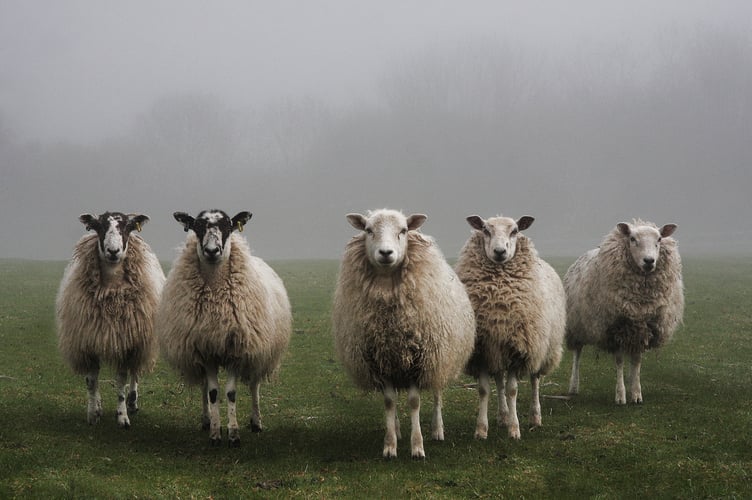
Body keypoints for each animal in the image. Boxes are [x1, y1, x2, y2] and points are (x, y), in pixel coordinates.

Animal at [56, 213, 165, 428]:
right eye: (99, 226)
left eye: (127, 227)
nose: (113, 251)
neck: (111, 290)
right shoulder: (88, 341)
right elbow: (91, 381)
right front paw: (92, 413)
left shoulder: (126, 342)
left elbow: (121, 380)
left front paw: (122, 416)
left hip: (140, 341)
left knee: (135, 372)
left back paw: (132, 402)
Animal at [156, 209, 290, 448]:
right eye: (197, 227)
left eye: (228, 226)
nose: (212, 251)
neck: (216, 295)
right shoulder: (206, 350)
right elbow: (212, 392)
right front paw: (215, 433)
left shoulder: (236, 350)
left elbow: (230, 393)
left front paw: (234, 434)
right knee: (204, 387)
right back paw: (207, 420)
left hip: (259, 350)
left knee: (254, 385)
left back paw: (256, 422)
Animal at [332, 209, 472, 458]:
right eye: (368, 230)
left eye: (404, 230)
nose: (386, 253)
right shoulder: (381, 359)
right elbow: (389, 402)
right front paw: (390, 446)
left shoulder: (419, 360)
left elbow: (415, 402)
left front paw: (417, 446)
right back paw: (397, 430)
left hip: (439, 356)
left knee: (437, 392)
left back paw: (437, 429)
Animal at [452, 213, 564, 440]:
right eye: (485, 230)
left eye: (515, 231)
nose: (499, 252)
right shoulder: (483, 349)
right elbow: (484, 390)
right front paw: (481, 430)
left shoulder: (519, 349)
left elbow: (513, 390)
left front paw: (514, 429)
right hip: (497, 351)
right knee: (499, 381)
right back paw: (502, 416)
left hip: (541, 348)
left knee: (534, 380)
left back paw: (535, 417)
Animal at [564, 220, 688, 406]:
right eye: (632, 239)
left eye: (659, 239)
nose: (649, 261)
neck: (640, 301)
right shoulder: (616, 329)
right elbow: (619, 361)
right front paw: (620, 395)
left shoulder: (642, 329)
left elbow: (636, 361)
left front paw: (636, 393)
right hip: (577, 324)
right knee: (577, 354)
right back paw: (573, 386)